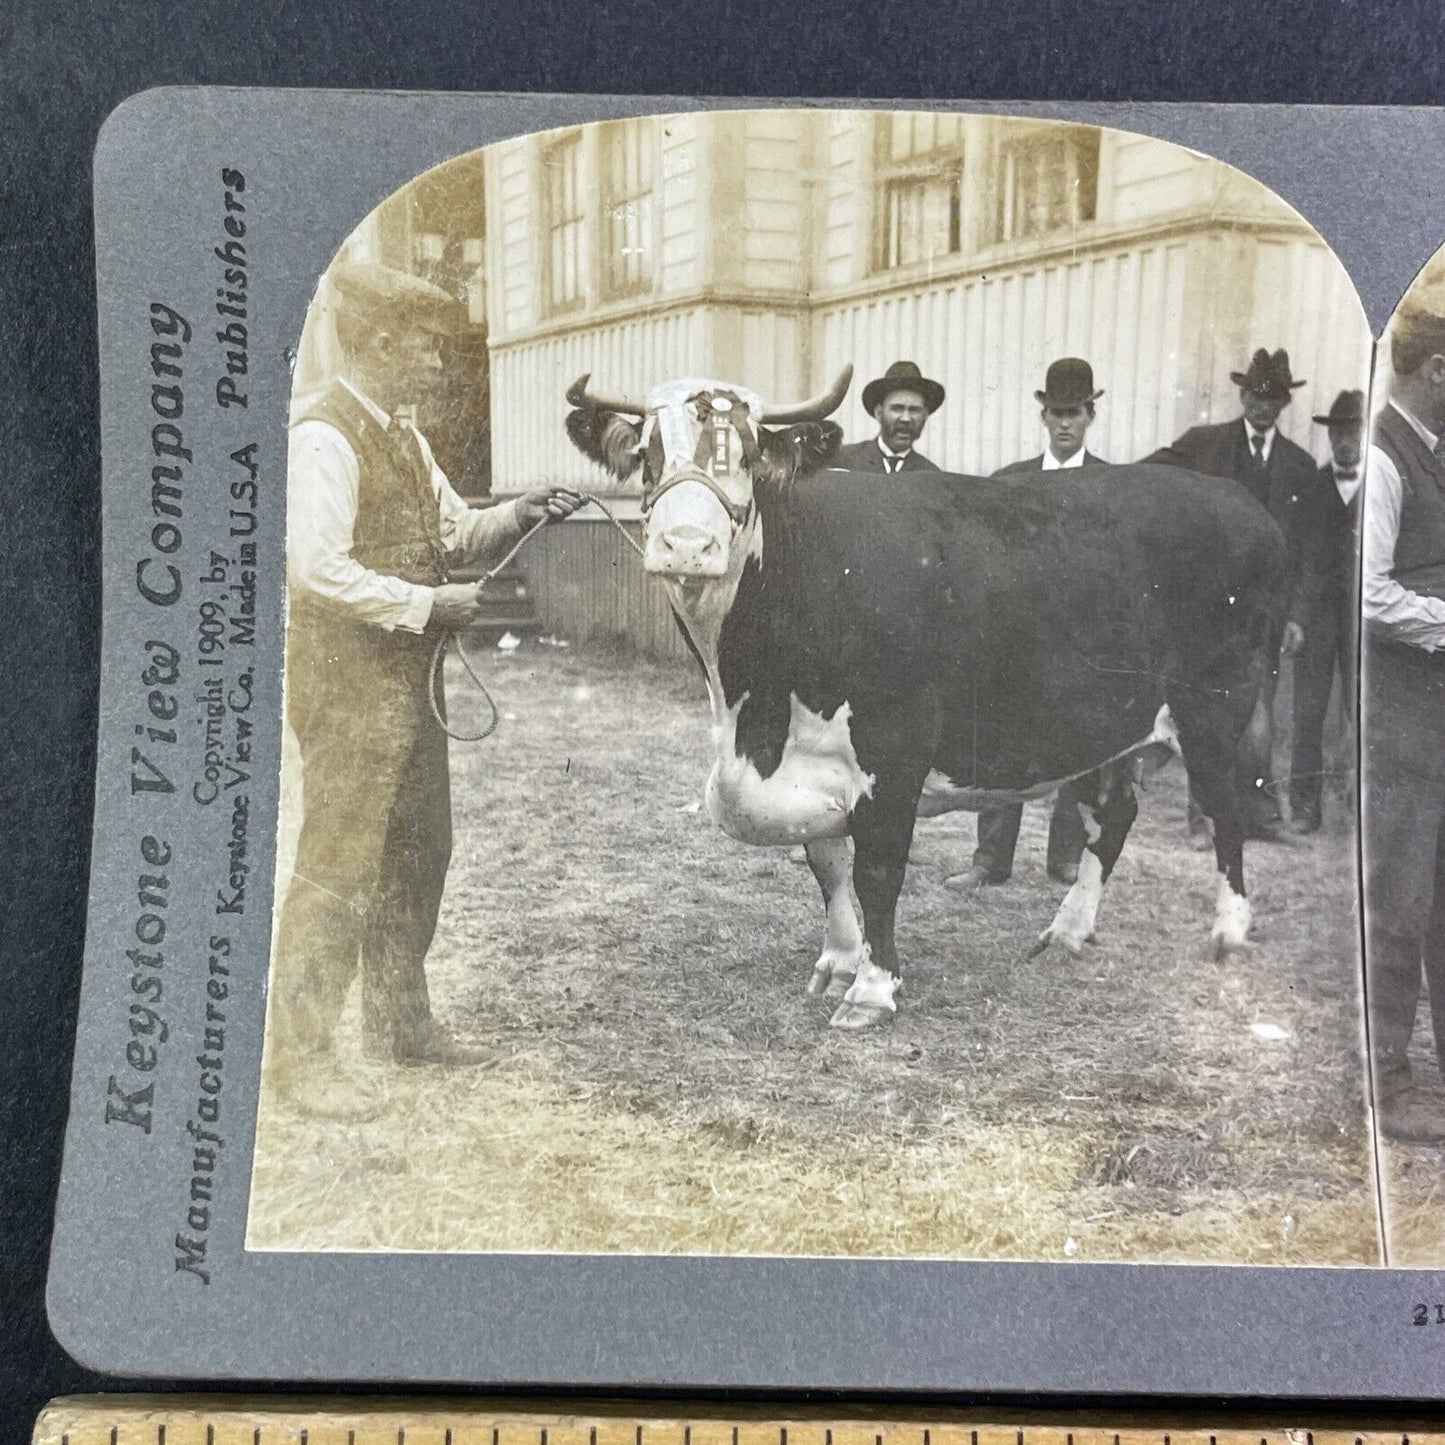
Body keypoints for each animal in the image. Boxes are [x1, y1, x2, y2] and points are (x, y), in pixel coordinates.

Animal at [560, 367, 1288, 1034]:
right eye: (647, 455)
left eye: (747, 455)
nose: (687, 546)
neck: (751, 711)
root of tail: (1237, 499)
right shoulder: (815, 762)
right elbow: (827, 865)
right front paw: (838, 961)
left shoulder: (893, 750)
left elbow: (879, 870)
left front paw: (872, 989)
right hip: (1107, 722)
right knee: (1114, 816)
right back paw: (1068, 930)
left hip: (1215, 707)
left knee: (1226, 811)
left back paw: (1227, 931)